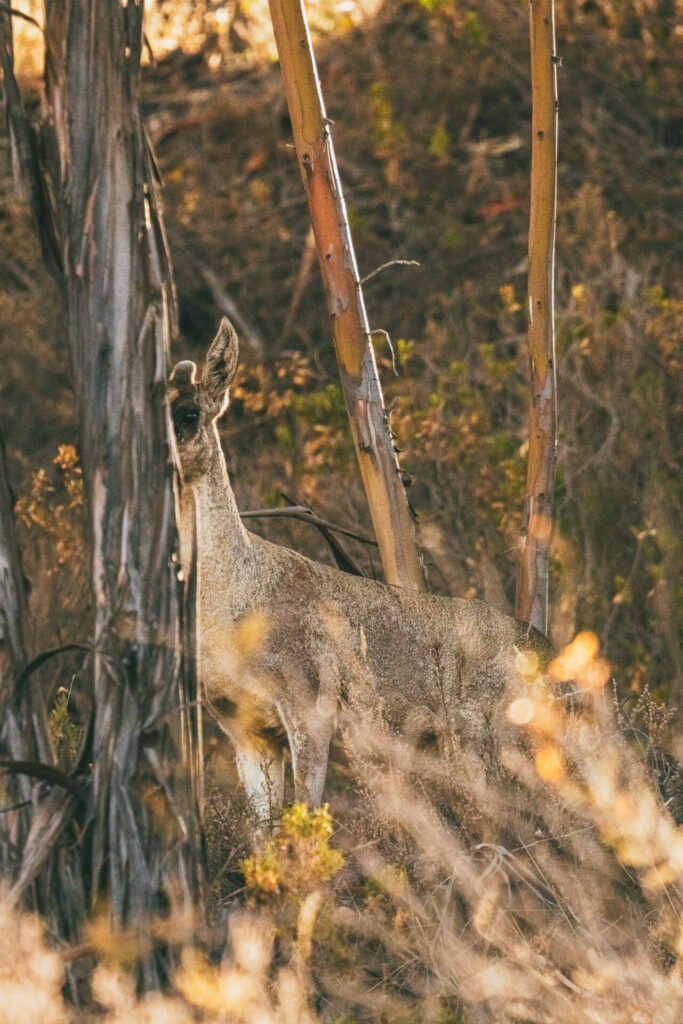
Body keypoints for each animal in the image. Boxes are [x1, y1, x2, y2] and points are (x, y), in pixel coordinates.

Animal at [169, 319, 548, 823]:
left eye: (190, 414)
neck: (232, 606)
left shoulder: (310, 700)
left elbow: (305, 820)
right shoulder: (241, 726)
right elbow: (263, 832)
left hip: (490, 734)